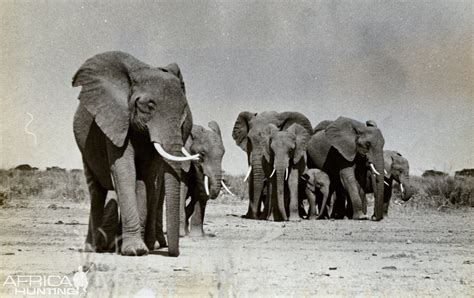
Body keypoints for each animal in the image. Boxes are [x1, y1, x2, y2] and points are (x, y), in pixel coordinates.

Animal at [71, 51, 197, 256]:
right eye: (149, 106)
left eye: (184, 111)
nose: (173, 253)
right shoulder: (116, 121)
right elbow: (125, 172)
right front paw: (135, 250)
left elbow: (145, 177)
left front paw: (137, 248)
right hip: (85, 148)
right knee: (96, 192)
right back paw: (93, 249)